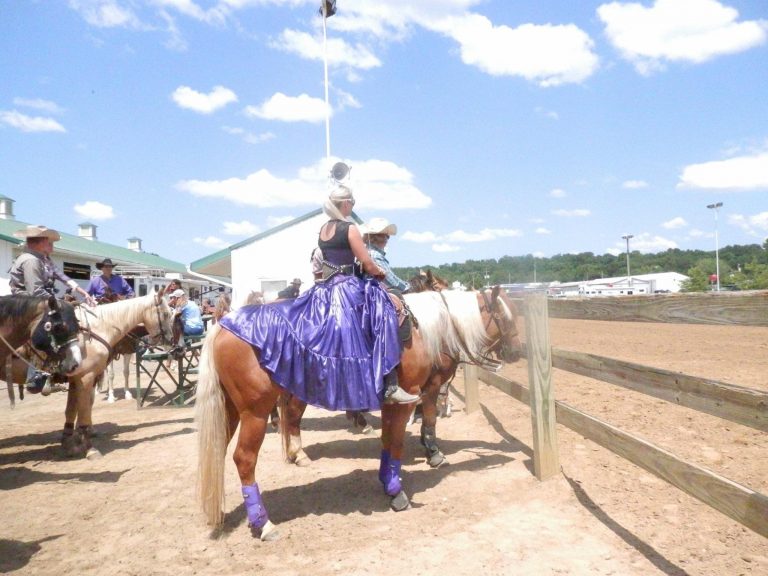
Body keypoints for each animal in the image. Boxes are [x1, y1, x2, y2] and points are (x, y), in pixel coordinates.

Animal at [61, 290, 174, 458]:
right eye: (166, 314)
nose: (171, 340)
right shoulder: (92, 371)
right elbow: (105, 381)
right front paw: (110, 397)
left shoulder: (123, 354)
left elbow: (124, 374)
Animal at [196, 285, 521, 540]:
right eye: (505, 317)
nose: (517, 352)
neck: (423, 331)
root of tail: (223, 326)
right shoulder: (414, 395)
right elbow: (406, 436)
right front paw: (404, 484)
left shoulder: (395, 402)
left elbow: (389, 442)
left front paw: (389, 480)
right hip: (255, 412)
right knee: (245, 458)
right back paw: (263, 523)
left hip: (231, 410)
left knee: (220, 451)